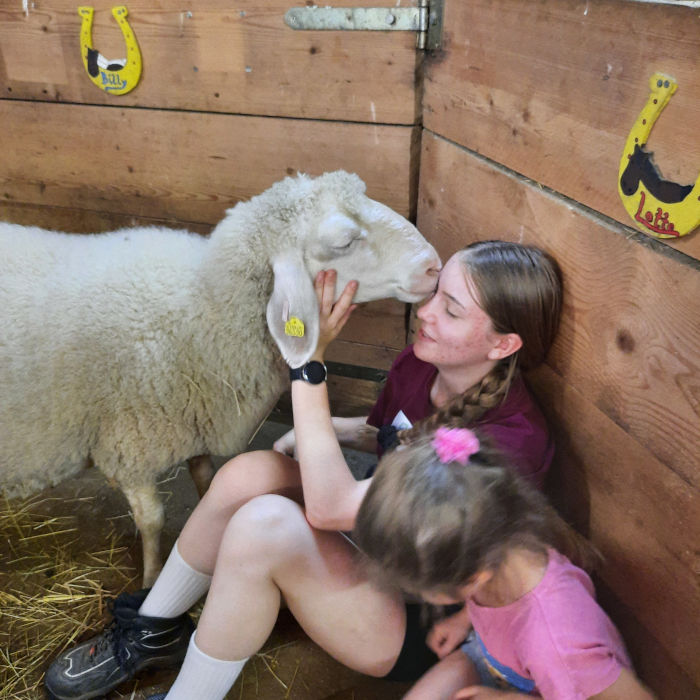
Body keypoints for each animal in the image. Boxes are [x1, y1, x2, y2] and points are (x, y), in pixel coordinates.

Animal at [0, 171, 438, 584]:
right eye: (344, 241)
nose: (433, 265)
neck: (204, 305)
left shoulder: (194, 420)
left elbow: (207, 482)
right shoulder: (129, 446)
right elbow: (152, 520)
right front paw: (151, 577)